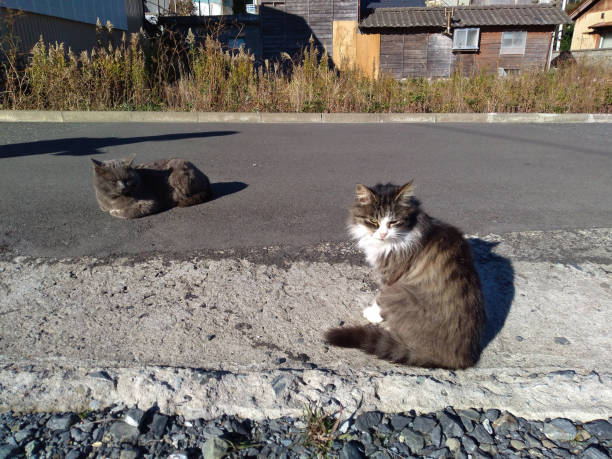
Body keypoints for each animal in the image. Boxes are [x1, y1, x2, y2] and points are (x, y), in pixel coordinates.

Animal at [322, 181, 486, 368]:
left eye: (393, 222)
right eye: (374, 221)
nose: (383, 234)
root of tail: (460, 359)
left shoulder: (390, 277)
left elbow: (379, 298)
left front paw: (373, 314)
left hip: (401, 292)